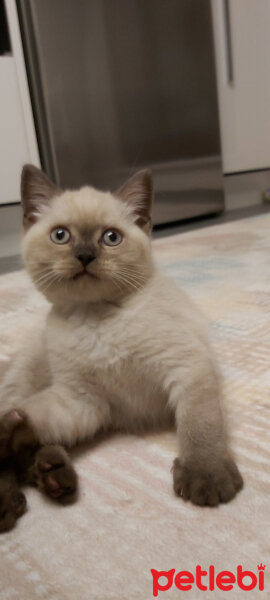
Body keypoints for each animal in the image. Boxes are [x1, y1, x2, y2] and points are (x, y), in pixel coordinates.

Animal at [0, 163, 243, 528]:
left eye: (111, 238)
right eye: (61, 236)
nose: (85, 256)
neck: (96, 318)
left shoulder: (186, 368)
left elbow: (200, 428)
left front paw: (207, 477)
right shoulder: (80, 400)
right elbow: (30, 413)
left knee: (28, 455)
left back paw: (51, 475)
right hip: (25, 376)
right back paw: (14, 498)